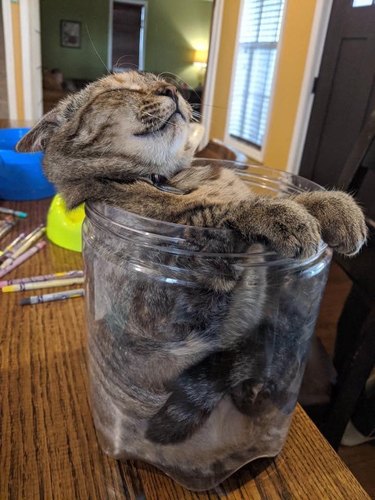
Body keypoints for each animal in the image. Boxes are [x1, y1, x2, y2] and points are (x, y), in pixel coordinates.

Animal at [16, 70, 368, 488]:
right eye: (120, 88)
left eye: (155, 80)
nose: (173, 89)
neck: (167, 178)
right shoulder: (176, 305)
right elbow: (220, 214)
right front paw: (279, 214)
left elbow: (281, 199)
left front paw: (333, 205)